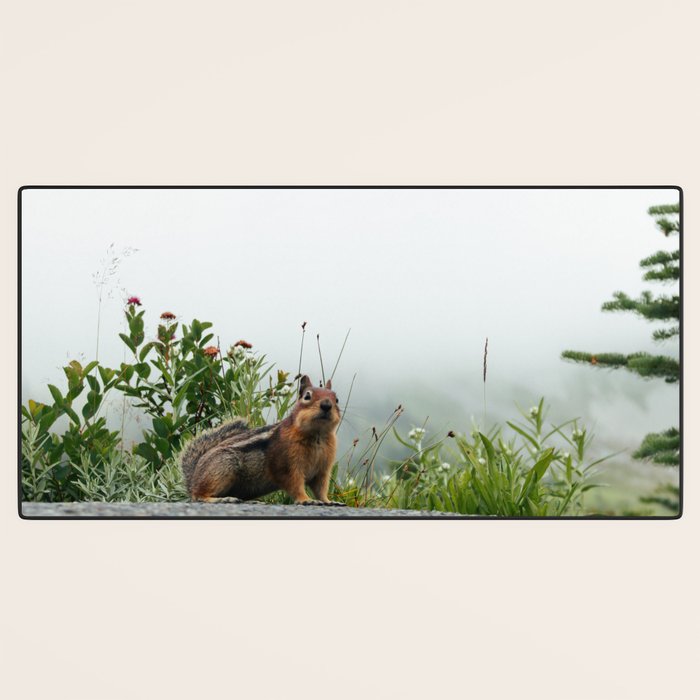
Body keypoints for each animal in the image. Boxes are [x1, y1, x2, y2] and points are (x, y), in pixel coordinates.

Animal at [179, 375, 346, 506]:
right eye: (307, 396)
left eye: (337, 399)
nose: (326, 405)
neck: (318, 435)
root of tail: (193, 478)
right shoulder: (287, 465)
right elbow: (295, 484)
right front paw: (306, 500)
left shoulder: (323, 469)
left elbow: (321, 489)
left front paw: (329, 501)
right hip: (222, 467)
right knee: (199, 495)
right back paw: (222, 499)